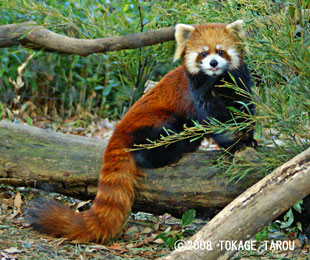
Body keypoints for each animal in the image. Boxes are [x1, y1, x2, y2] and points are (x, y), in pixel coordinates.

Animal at [25, 19, 256, 244]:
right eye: (203, 53)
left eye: (221, 51)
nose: (213, 63)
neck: (217, 82)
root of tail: (118, 131)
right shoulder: (197, 93)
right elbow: (212, 121)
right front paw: (234, 144)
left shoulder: (239, 85)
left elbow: (245, 111)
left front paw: (248, 139)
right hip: (156, 122)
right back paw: (175, 148)